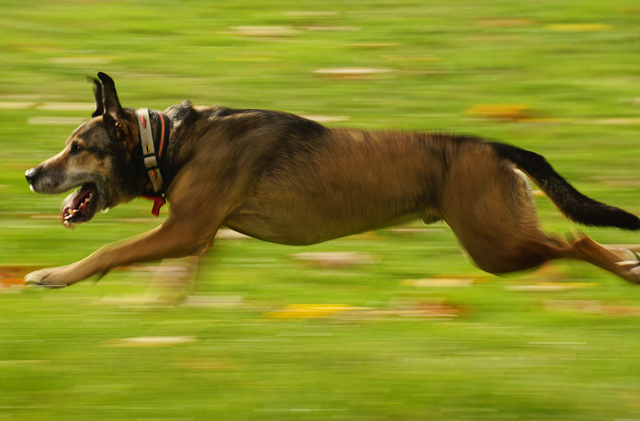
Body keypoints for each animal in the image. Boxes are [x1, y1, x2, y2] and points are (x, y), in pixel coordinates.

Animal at [23, 73, 640, 288]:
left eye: (78, 147)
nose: (30, 174)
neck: (172, 142)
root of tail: (492, 146)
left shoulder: (187, 229)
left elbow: (110, 250)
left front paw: (55, 275)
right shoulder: (199, 237)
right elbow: (175, 275)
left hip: (496, 245)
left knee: (578, 241)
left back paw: (624, 267)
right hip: (500, 238)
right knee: (580, 241)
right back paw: (629, 260)